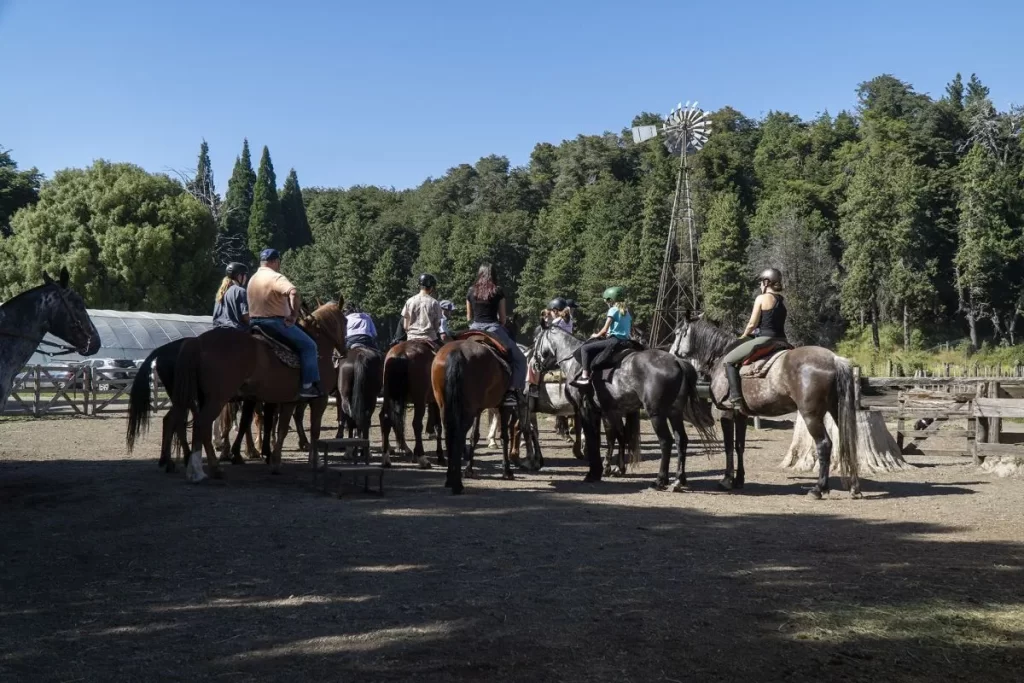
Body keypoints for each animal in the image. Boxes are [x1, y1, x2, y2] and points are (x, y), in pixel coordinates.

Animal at [168, 303, 347, 481]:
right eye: (345, 320)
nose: (343, 352)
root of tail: (197, 342)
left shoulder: (289, 401)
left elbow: (282, 429)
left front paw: (275, 462)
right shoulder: (320, 399)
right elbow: (314, 431)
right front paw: (314, 461)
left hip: (201, 398)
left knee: (190, 424)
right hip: (217, 399)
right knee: (202, 424)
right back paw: (206, 469)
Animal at [380, 339, 443, 469]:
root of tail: (401, 354)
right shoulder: (436, 401)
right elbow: (438, 426)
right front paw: (440, 456)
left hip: (389, 397)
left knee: (386, 419)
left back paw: (386, 458)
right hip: (419, 400)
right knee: (417, 424)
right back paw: (423, 459)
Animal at [433, 332, 520, 494]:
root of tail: (457, 352)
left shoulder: (478, 409)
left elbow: (474, 436)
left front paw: (469, 469)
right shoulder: (504, 408)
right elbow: (504, 436)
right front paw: (507, 471)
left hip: (446, 407)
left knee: (449, 434)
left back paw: (449, 478)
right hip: (467, 410)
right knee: (459, 435)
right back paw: (457, 484)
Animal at [532, 322, 716, 489]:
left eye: (535, 339)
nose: (534, 364)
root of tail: (677, 362)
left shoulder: (588, 410)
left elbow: (594, 439)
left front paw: (594, 472)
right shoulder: (608, 411)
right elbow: (615, 437)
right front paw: (611, 469)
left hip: (656, 414)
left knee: (666, 441)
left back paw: (660, 480)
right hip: (674, 413)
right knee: (680, 440)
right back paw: (679, 480)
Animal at [669, 317, 861, 499]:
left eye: (678, 333)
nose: (672, 354)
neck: (721, 356)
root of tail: (834, 359)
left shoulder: (726, 413)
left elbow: (728, 446)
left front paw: (727, 480)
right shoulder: (741, 415)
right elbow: (739, 446)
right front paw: (739, 480)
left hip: (811, 416)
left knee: (824, 444)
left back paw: (818, 489)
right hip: (835, 411)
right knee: (849, 442)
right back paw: (854, 488)